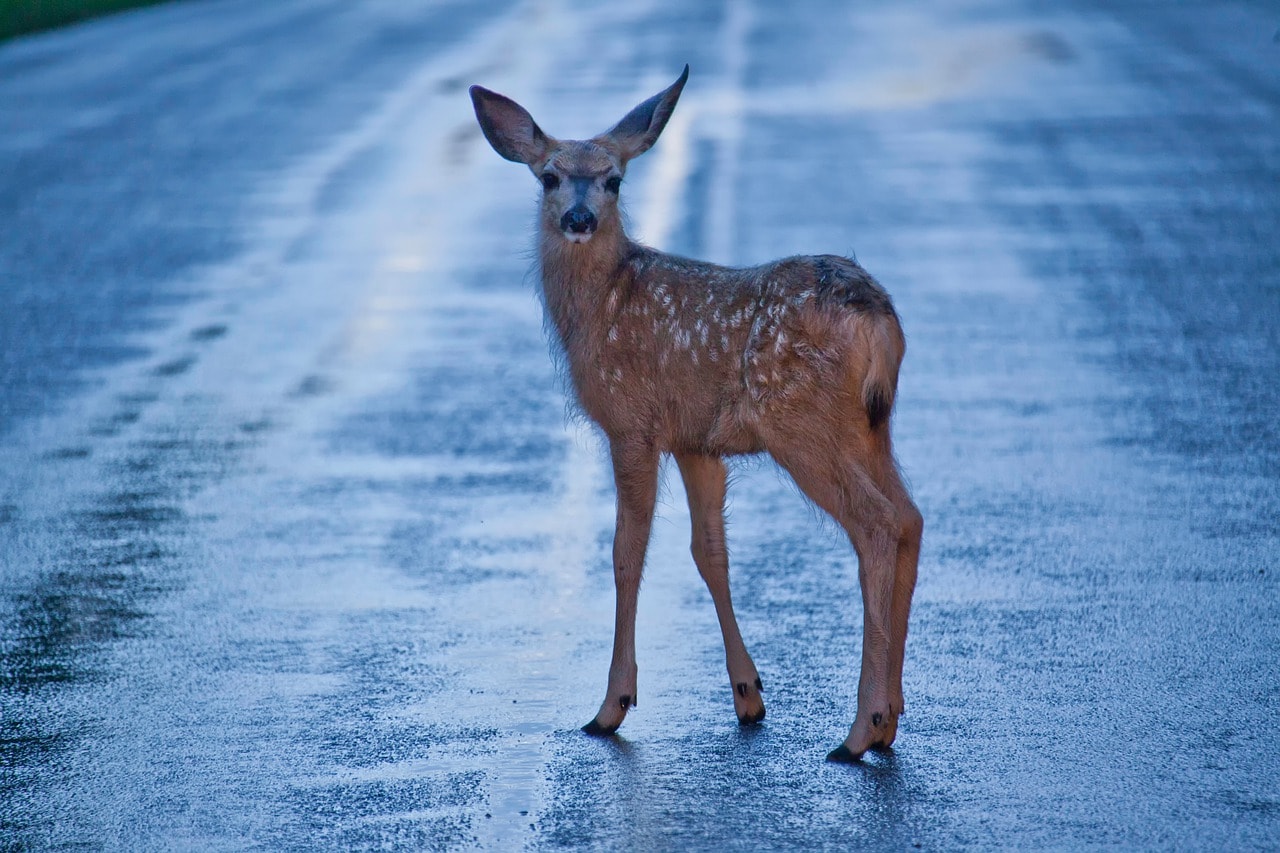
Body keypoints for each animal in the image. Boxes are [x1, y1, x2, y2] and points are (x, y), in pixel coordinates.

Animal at [471, 64, 921, 758]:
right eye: (548, 176)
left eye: (614, 179)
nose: (579, 216)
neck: (602, 308)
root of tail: (877, 317)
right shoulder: (695, 440)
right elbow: (709, 551)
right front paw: (748, 697)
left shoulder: (632, 422)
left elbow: (626, 550)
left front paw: (611, 706)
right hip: (873, 424)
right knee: (911, 518)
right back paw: (890, 720)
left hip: (802, 421)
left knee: (877, 524)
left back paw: (859, 729)